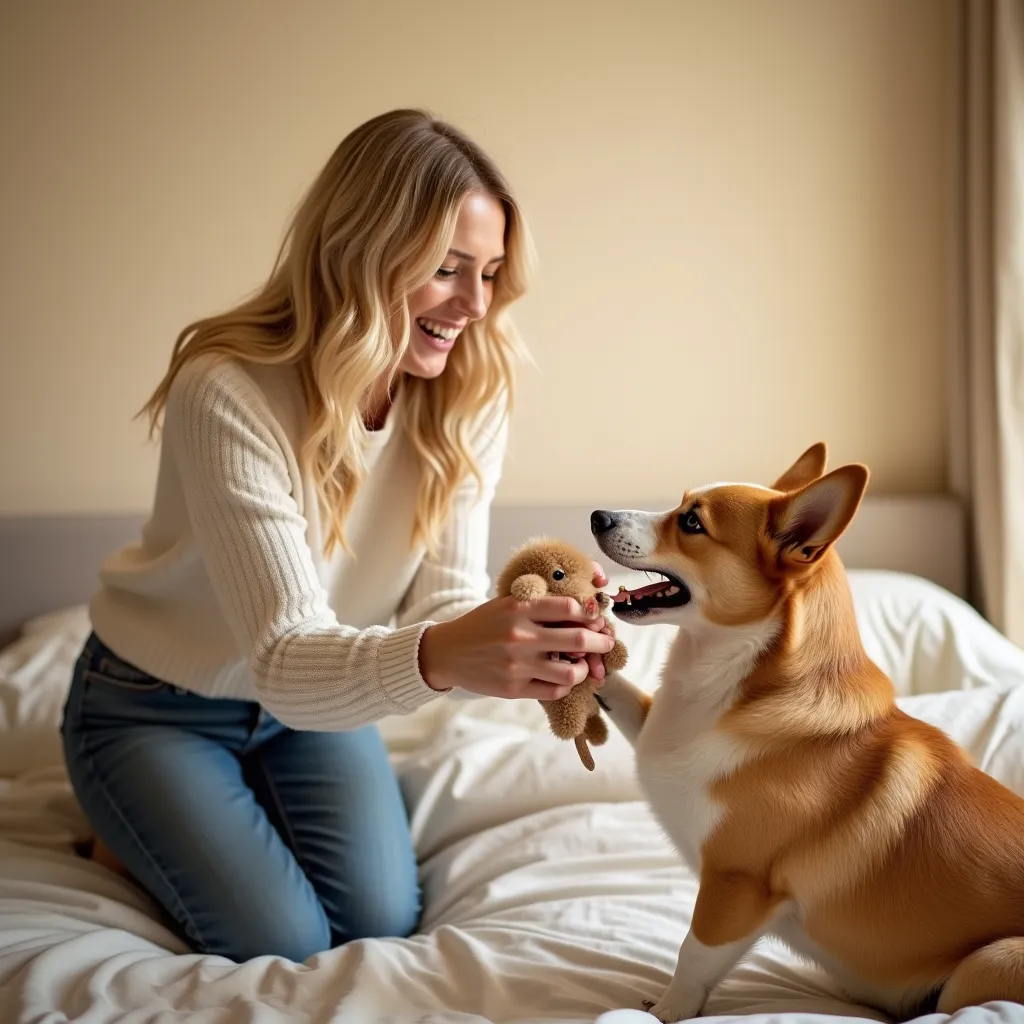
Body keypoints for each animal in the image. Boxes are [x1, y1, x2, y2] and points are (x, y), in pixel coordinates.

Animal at [589, 442, 1024, 1024]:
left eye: (691, 522)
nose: (597, 516)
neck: (731, 686)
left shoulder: (735, 884)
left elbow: (692, 959)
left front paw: (661, 1013)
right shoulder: (660, 728)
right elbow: (626, 695)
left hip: (985, 965)